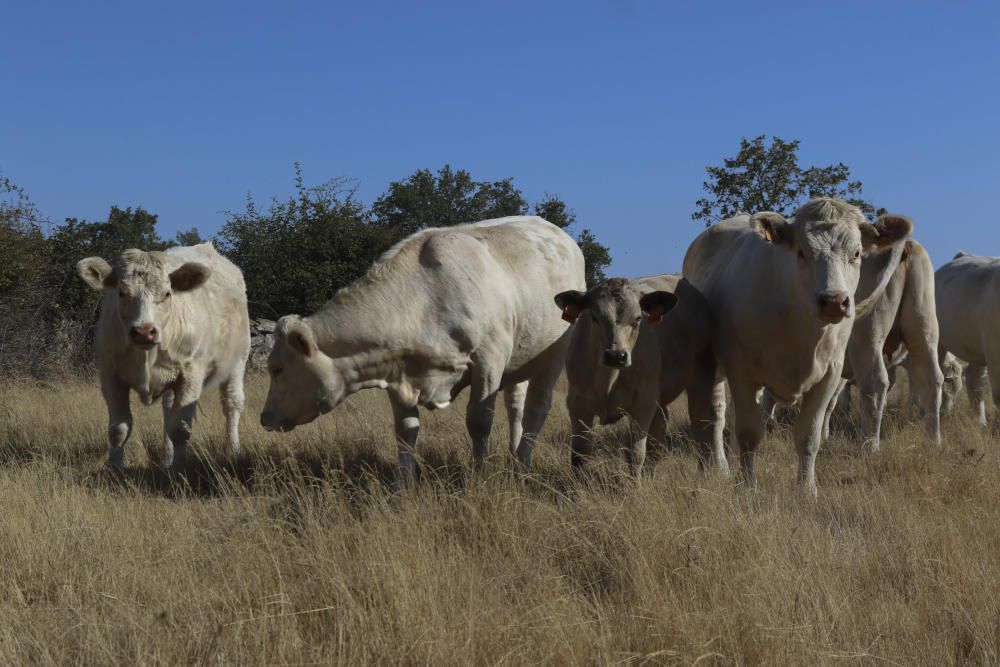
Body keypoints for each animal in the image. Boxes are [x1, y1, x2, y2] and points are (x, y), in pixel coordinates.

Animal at [76, 245, 250, 474]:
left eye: (167, 294)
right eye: (122, 293)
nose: (144, 331)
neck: (146, 356)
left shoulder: (190, 377)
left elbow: (180, 429)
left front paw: (179, 469)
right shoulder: (110, 376)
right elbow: (118, 429)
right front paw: (114, 469)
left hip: (238, 360)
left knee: (232, 403)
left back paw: (233, 449)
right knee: (168, 411)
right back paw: (166, 457)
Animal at [258, 214, 584, 480]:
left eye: (277, 368)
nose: (265, 418)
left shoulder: (489, 362)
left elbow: (479, 422)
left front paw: (479, 475)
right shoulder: (397, 372)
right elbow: (406, 430)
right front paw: (404, 485)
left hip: (553, 357)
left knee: (536, 410)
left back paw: (523, 464)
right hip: (519, 361)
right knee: (515, 405)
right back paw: (515, 455)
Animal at [684, 198, 912, 496]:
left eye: (857, 253)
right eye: (802, 252)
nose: (834, 301)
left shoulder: (830, 374)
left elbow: (809, 435)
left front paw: (806, 489)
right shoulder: (741, 371)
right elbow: (748, 433)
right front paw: (748, 486)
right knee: (716, 415)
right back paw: (719, 466)